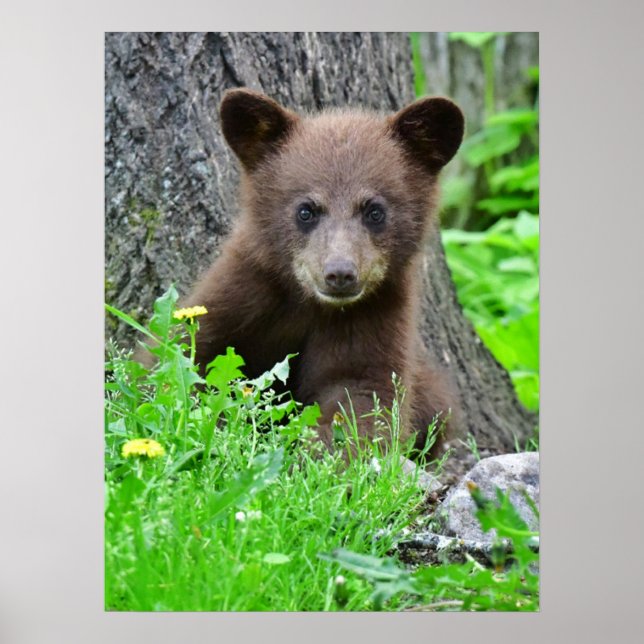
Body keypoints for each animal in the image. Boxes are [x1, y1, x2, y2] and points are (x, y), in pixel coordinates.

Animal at [181, 88, 464, 457]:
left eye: (375, 211)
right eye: (306, 210)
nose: (340, 273)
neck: (309, 303)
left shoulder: (374, 316)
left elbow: (360, 394)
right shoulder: (243, 293)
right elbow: (191, 354)